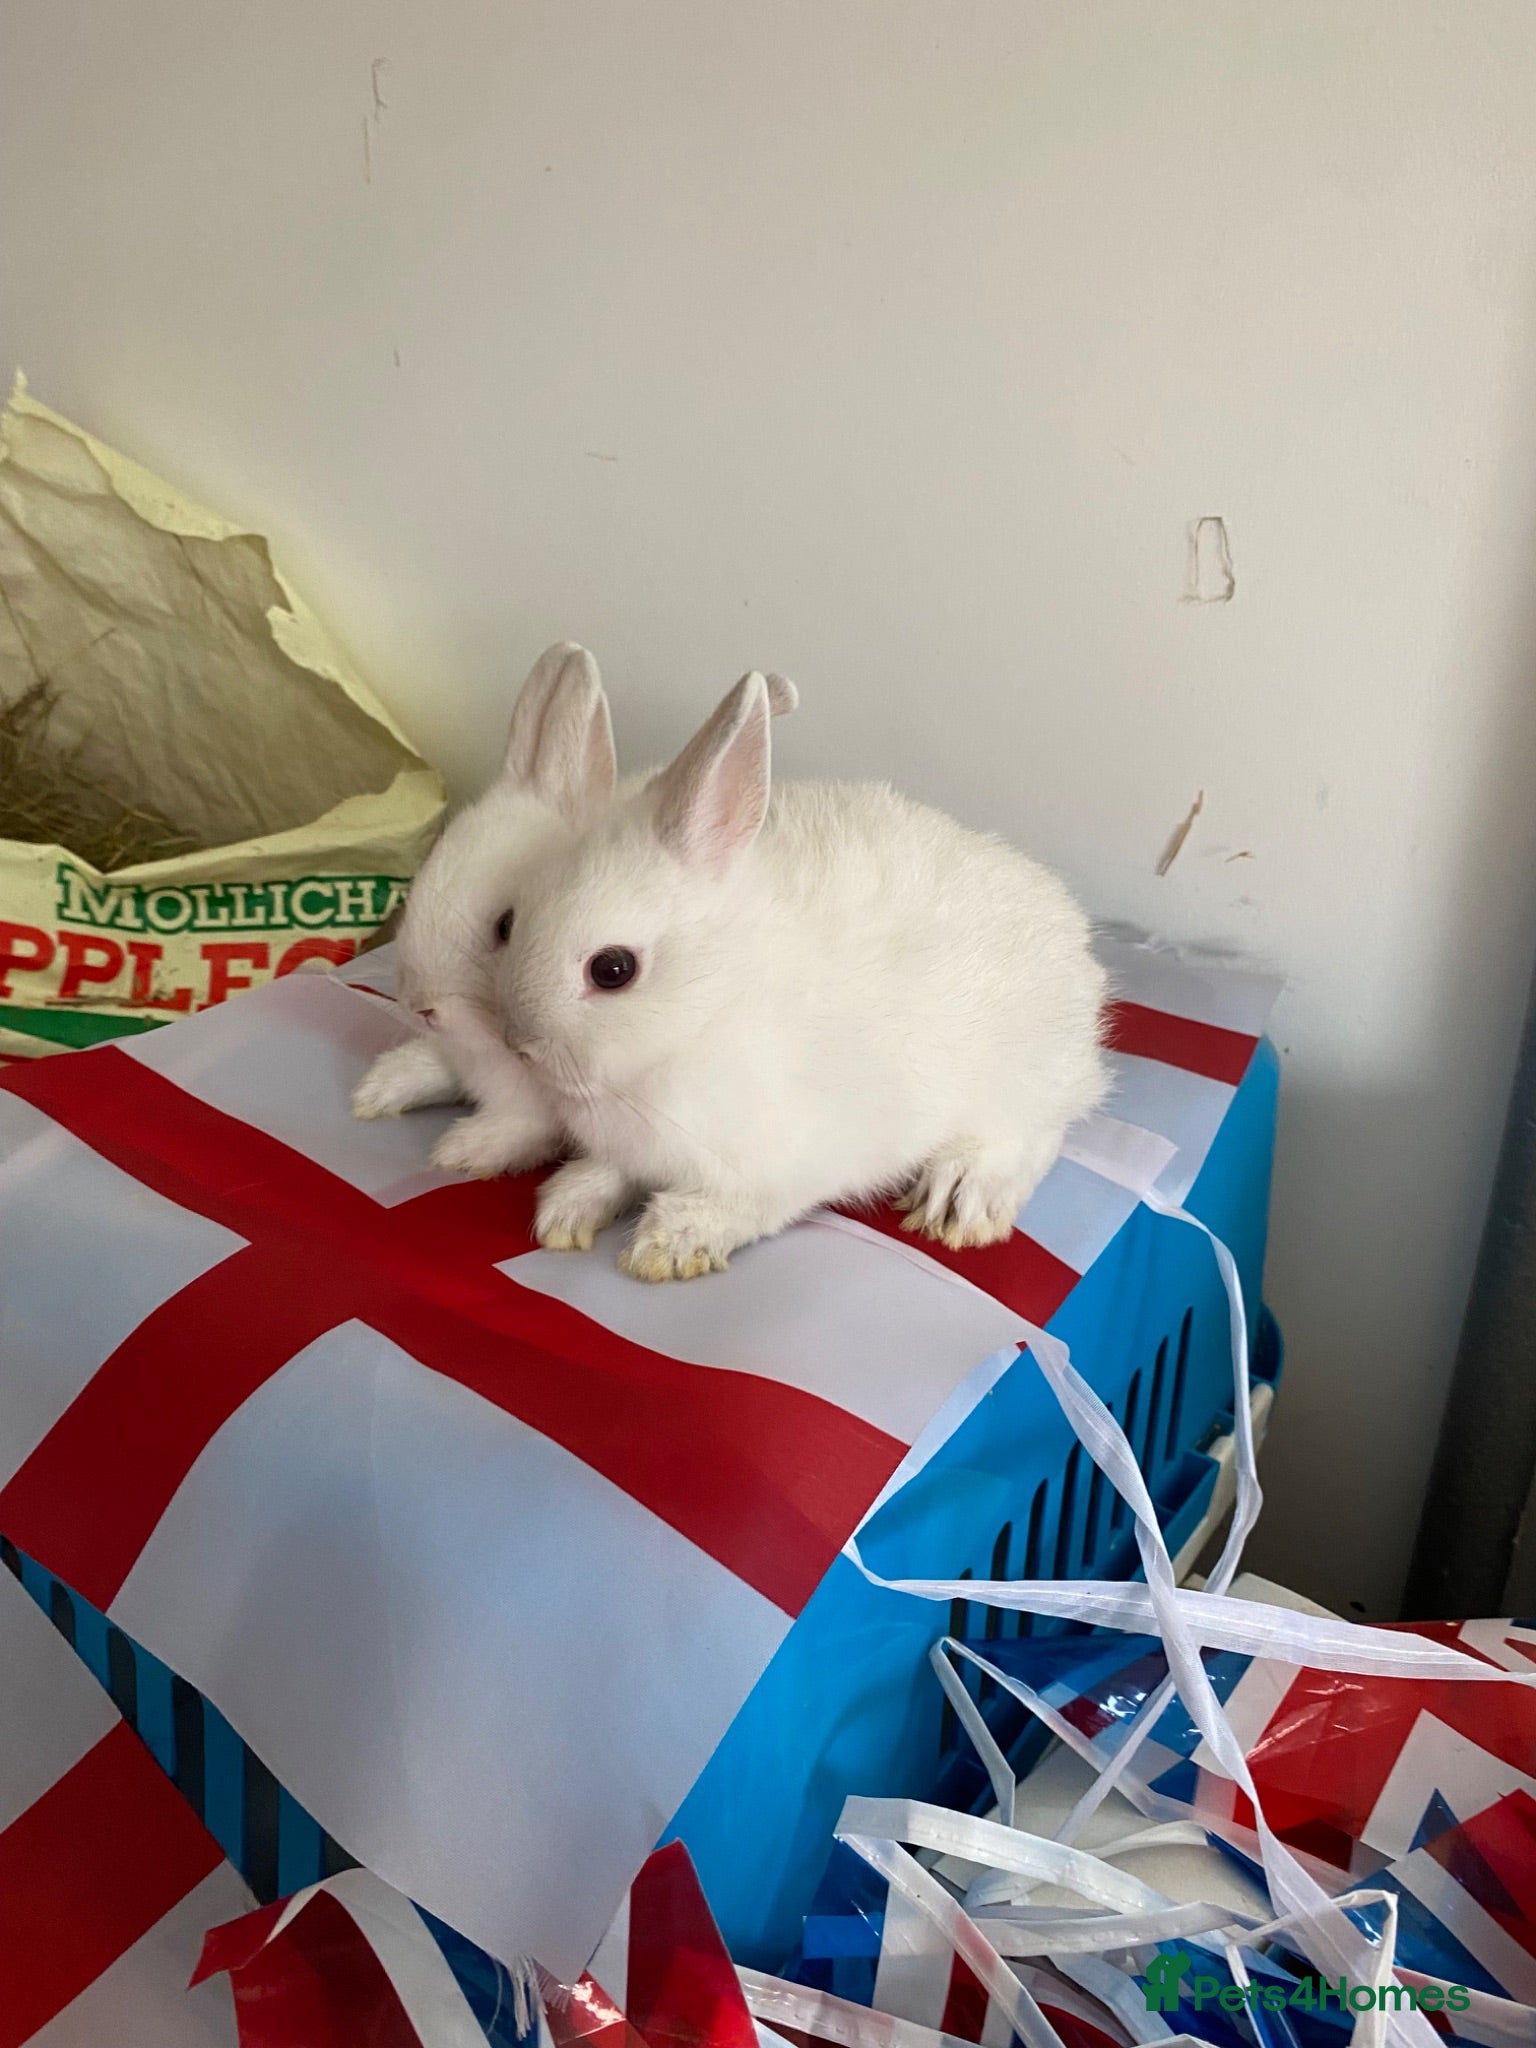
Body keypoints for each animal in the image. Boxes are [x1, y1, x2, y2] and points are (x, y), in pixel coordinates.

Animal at [487, 670, 1108, 1280]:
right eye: (515, 921)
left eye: (612, 969)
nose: (517, 1043)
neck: (704, 1012)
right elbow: (611, 1172)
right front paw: (567, 1208)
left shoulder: (788, 1161)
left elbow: (743, 1207)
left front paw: (672, 1242)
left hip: (1023, 1075)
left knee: (1034, 1133)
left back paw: (957, 1197)